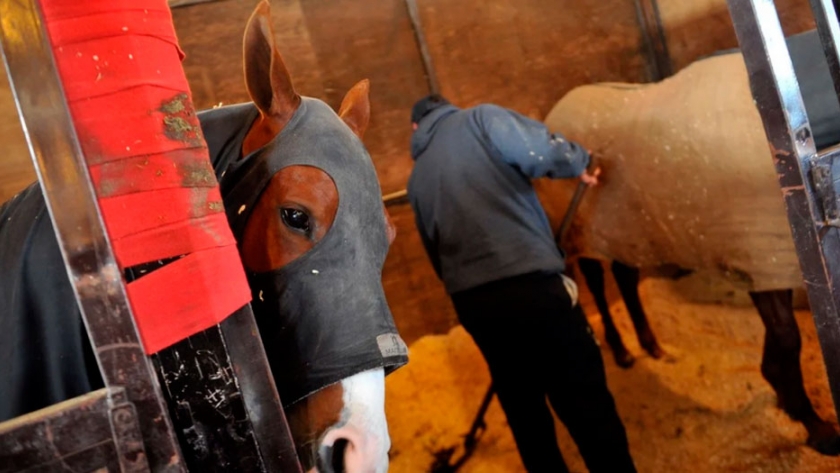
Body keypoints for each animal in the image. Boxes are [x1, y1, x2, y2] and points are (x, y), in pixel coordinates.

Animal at [536, 29, 840, 455]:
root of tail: (556, 109)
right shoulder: (756, 259)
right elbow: (787, 338)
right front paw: (813, 423)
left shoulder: (770, 263)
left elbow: (782, 339)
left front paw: (783, 395)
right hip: (575, 231)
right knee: (594, 282)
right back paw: (621, 349)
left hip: (626, 228)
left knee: (625, 276)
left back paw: (651, 344)